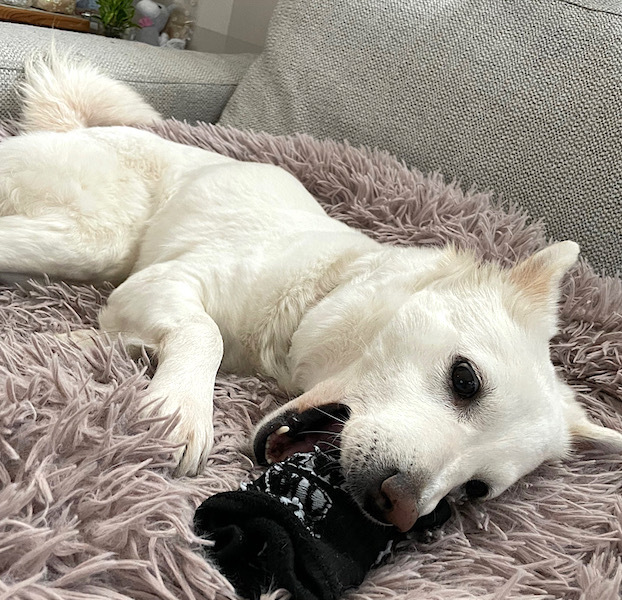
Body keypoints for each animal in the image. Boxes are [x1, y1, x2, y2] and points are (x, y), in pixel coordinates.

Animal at [1, 54, 620, 532]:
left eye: (476, 490)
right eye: (465, 380)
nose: (396, 510)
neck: (329, 285)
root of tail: (73, 127)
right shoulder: (166, 282)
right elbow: (204, 332)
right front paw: (179, 410)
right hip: (95, 239)